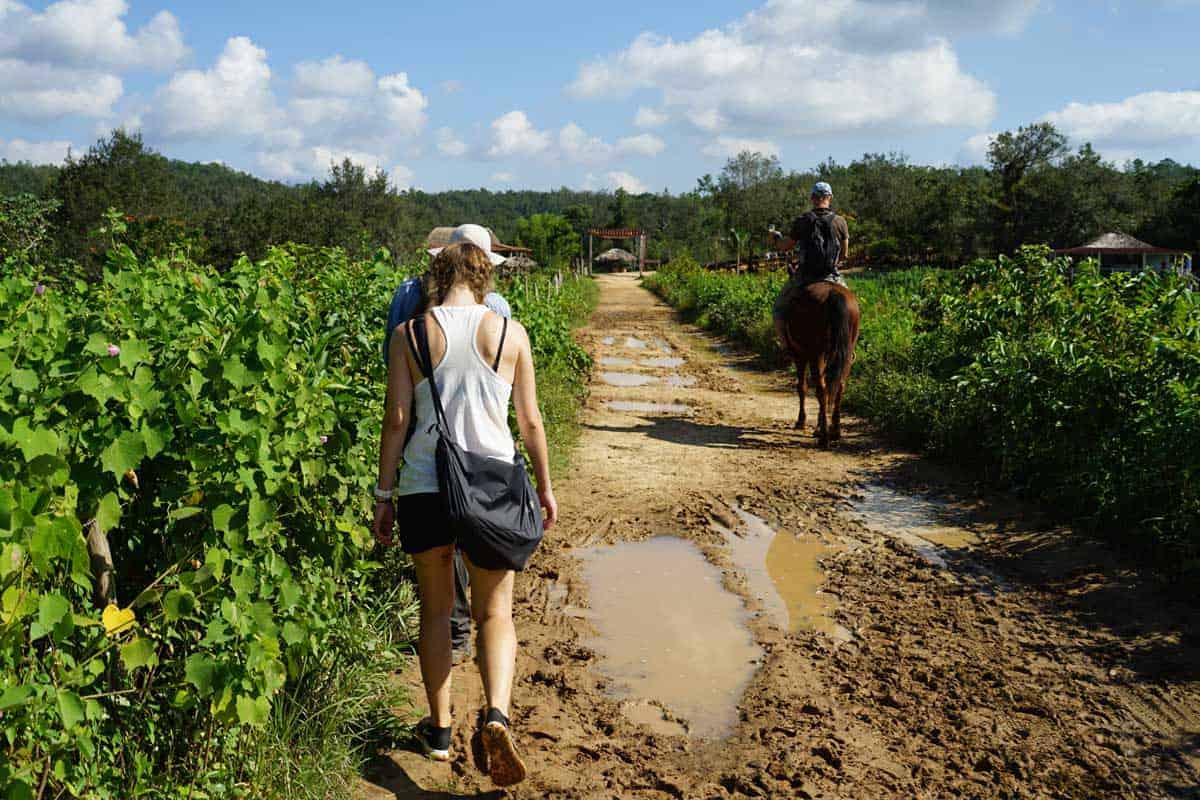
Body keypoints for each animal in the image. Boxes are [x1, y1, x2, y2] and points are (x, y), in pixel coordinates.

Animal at [782, 281, 859, 448]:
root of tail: (833, 294)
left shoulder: (800, 356)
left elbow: (802, 387)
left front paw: (801, 421)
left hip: (816, 354)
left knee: (821, 389)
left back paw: (824, 436)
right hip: (845, 353)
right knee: (839, 386)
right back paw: (835, 431)